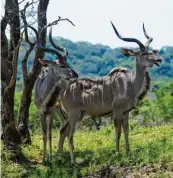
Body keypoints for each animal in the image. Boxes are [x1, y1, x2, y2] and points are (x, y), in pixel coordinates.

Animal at [28, 25, 77, 163]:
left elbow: (49, 134)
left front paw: (49, 157)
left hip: (60, 109)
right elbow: (45, 134)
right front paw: (44, 158)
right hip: (58, 111)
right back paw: (59, 151)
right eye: (62, 65)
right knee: (63, 125)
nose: (75, 74)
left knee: (65, 126)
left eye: (68, 63)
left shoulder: (50, 111)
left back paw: (64, 151)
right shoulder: (42, 112)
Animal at [56, 22, 162, 164]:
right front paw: (117, 153)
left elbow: (126, 131)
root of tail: (63, 92)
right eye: (144, 53)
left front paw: (128, 152)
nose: (159, 59)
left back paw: (60, 156)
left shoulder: (126, 112)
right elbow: (117, 132)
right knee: (69, 134)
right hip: (74, 114)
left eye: (151, 51)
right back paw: (73, 161)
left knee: (63, 131)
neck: (130, 82)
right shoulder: (117, 111)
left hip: (78, 115)